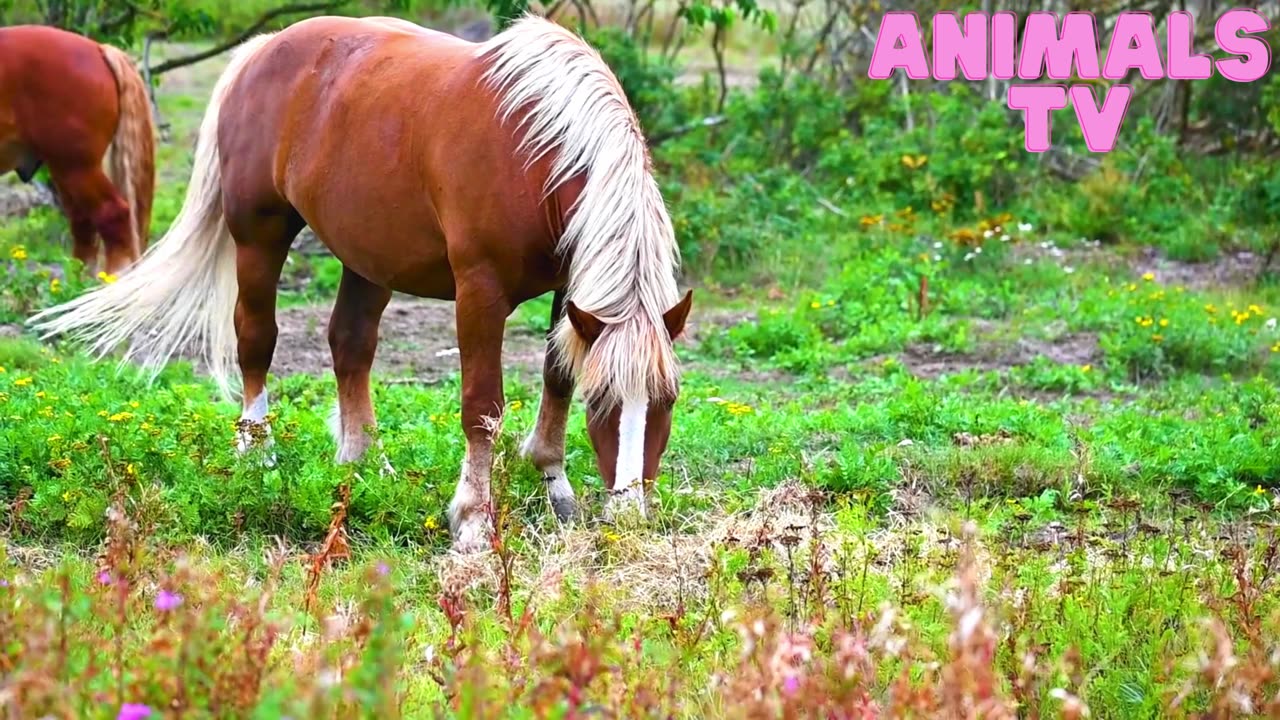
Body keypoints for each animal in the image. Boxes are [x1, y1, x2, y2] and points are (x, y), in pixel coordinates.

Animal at [30, 14, 696, 550]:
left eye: (666, 401)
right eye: (605, 405)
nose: (631, 516)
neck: (537, 148)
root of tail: (263, 50)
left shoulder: (569, 290)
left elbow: (557, 379)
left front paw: (556, 488)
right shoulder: (480, 291)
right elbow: (482, 405)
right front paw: (473, 520)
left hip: (368, 257)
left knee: (350, 345)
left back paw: (362, 464)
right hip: (259, 235)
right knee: (255, 339)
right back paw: (258, 455)